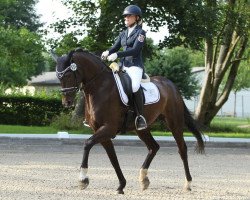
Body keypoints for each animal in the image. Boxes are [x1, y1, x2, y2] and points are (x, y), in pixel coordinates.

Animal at [53, 48, 204, 194]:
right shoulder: (101, 130)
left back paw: (188, 184)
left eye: (67, 75)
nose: (67, 103)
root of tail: (170, 84)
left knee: (182, 149)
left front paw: (83, 179)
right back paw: (144, 179)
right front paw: (121, 185)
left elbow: (87, 144)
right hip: (141, 128)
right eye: (58, 77)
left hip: (174, 122)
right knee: (154, 147)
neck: (100, 87)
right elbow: (112, 157)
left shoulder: (109, 128)